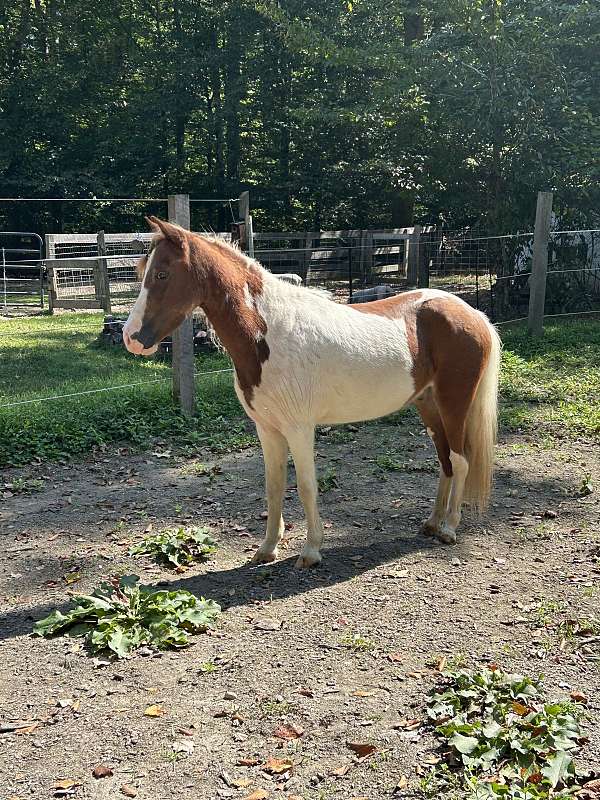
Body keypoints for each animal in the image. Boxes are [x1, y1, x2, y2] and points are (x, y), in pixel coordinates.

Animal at [123, 217, 501, 568]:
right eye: (144, 271)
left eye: (161, 274)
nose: (131, 338)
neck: (268, 334)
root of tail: (473, 313)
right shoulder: (267, 429)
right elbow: (274, 486)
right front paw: (267, 549)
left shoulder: (299, 428)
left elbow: (306, 486)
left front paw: (311, 551)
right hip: (428, 405)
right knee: (445, 461)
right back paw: (433, 523)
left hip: (454, 403)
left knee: (460, 460)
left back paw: (449, 528)